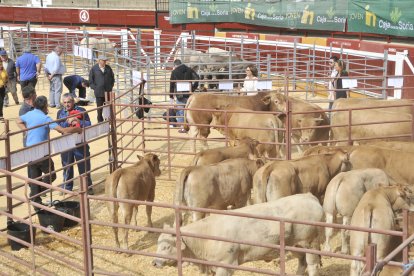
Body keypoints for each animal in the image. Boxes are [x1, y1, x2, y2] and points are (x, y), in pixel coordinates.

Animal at [152, 192, 324, 276]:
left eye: (167, 247)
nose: (154, 262)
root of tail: (309, 197)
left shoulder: (226, 264)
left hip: (310, 243)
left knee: (312, 265)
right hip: (296, 245)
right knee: (302, 262)